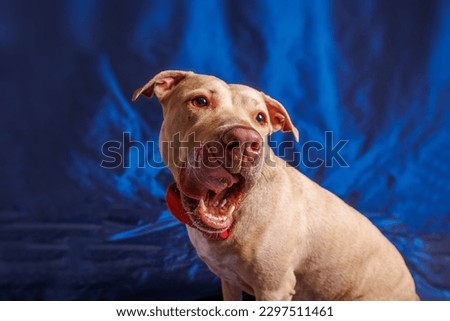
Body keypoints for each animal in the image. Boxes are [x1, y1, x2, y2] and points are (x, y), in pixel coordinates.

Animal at [132, 70, 420, 300]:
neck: (237, 216)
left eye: (260, 118)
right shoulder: (228, 280)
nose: (246, 141)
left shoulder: (274, 289)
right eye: (200, 101)